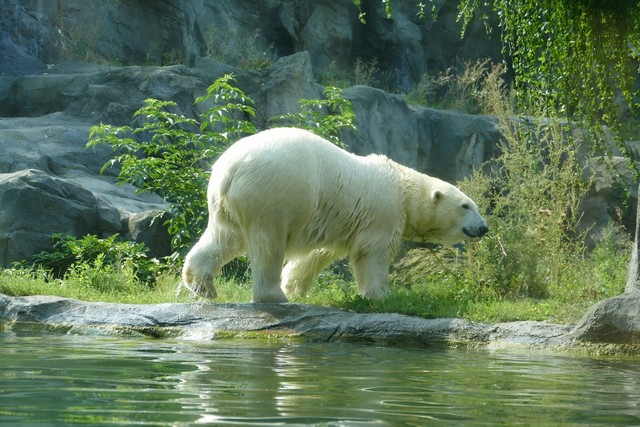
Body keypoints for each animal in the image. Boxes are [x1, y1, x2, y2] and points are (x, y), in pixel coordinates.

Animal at [178, 128, 488, 304]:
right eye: (466, 206)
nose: (483, 228)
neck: (403, 187)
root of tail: (229, 169)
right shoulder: (382, 212)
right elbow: (372, 252)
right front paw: (381, 295)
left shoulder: (341, 222)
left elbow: (318, 254)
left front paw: (295, 286)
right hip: (272, 193)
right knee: (268, 243)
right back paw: (274, 296)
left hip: (225, 203)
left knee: (223, 237)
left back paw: (202, 286)